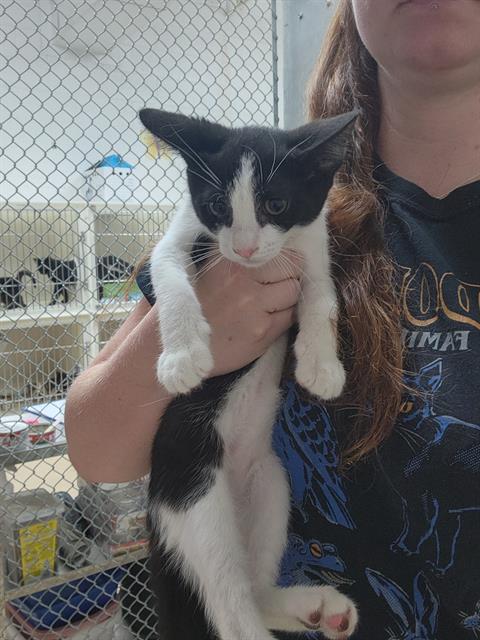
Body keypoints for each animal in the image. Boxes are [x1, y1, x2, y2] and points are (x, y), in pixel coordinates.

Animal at [139, 110, 360, 640]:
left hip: (272, 486)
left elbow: (323, 297)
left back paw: (316, 607)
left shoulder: (313, 250)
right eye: (217, 204)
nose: (243, 248)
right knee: (230, 604)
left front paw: (321, 365)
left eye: (275, 203)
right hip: (194, 498)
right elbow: (167, 271)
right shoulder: (184, 231)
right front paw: (181, 355)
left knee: (254, 589)